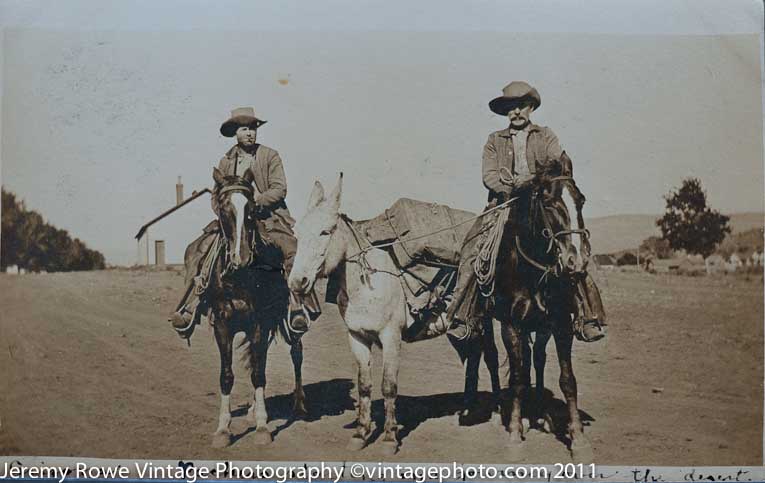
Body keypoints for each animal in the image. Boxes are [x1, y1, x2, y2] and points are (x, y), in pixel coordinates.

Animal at [209, 169, 308, 450]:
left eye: (252, 210)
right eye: (223, 208)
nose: (240, 258)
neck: (239, 278)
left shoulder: (258, 324)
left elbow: (258, 374)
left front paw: (263, 427)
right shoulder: (223, 325)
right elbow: (228, 375)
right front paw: (223, 429)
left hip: (287, 323)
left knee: (296, 353)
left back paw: (299, 404)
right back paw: (253, 411)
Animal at [490, 164, 596, 464]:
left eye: (580, 201)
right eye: (549, 203)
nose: (576, 261)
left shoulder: (560, 325)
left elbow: (567, 380)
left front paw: (578, 438)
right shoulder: (511, 326)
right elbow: (516, 379)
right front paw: (515, 434)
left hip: (541, 328)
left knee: (535, 359)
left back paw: (540, 413)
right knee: (494, 360)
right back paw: (506, 413)